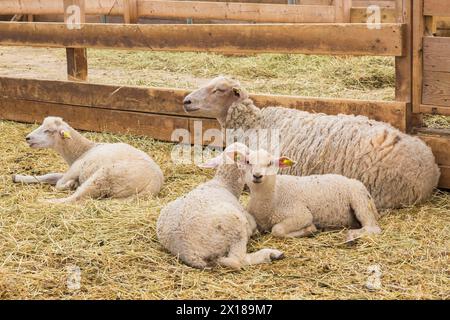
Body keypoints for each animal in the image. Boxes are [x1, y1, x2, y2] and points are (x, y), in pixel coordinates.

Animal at [11, 117, 163, 202]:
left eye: (48, 130)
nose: (27, 138)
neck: (83, 150)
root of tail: (154, 185)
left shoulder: (76, 168)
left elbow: (58, 183)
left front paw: (70, 185)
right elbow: (49, 176)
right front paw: (18, 177)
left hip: (103, 177)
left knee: (76, 199)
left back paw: (43, 201)